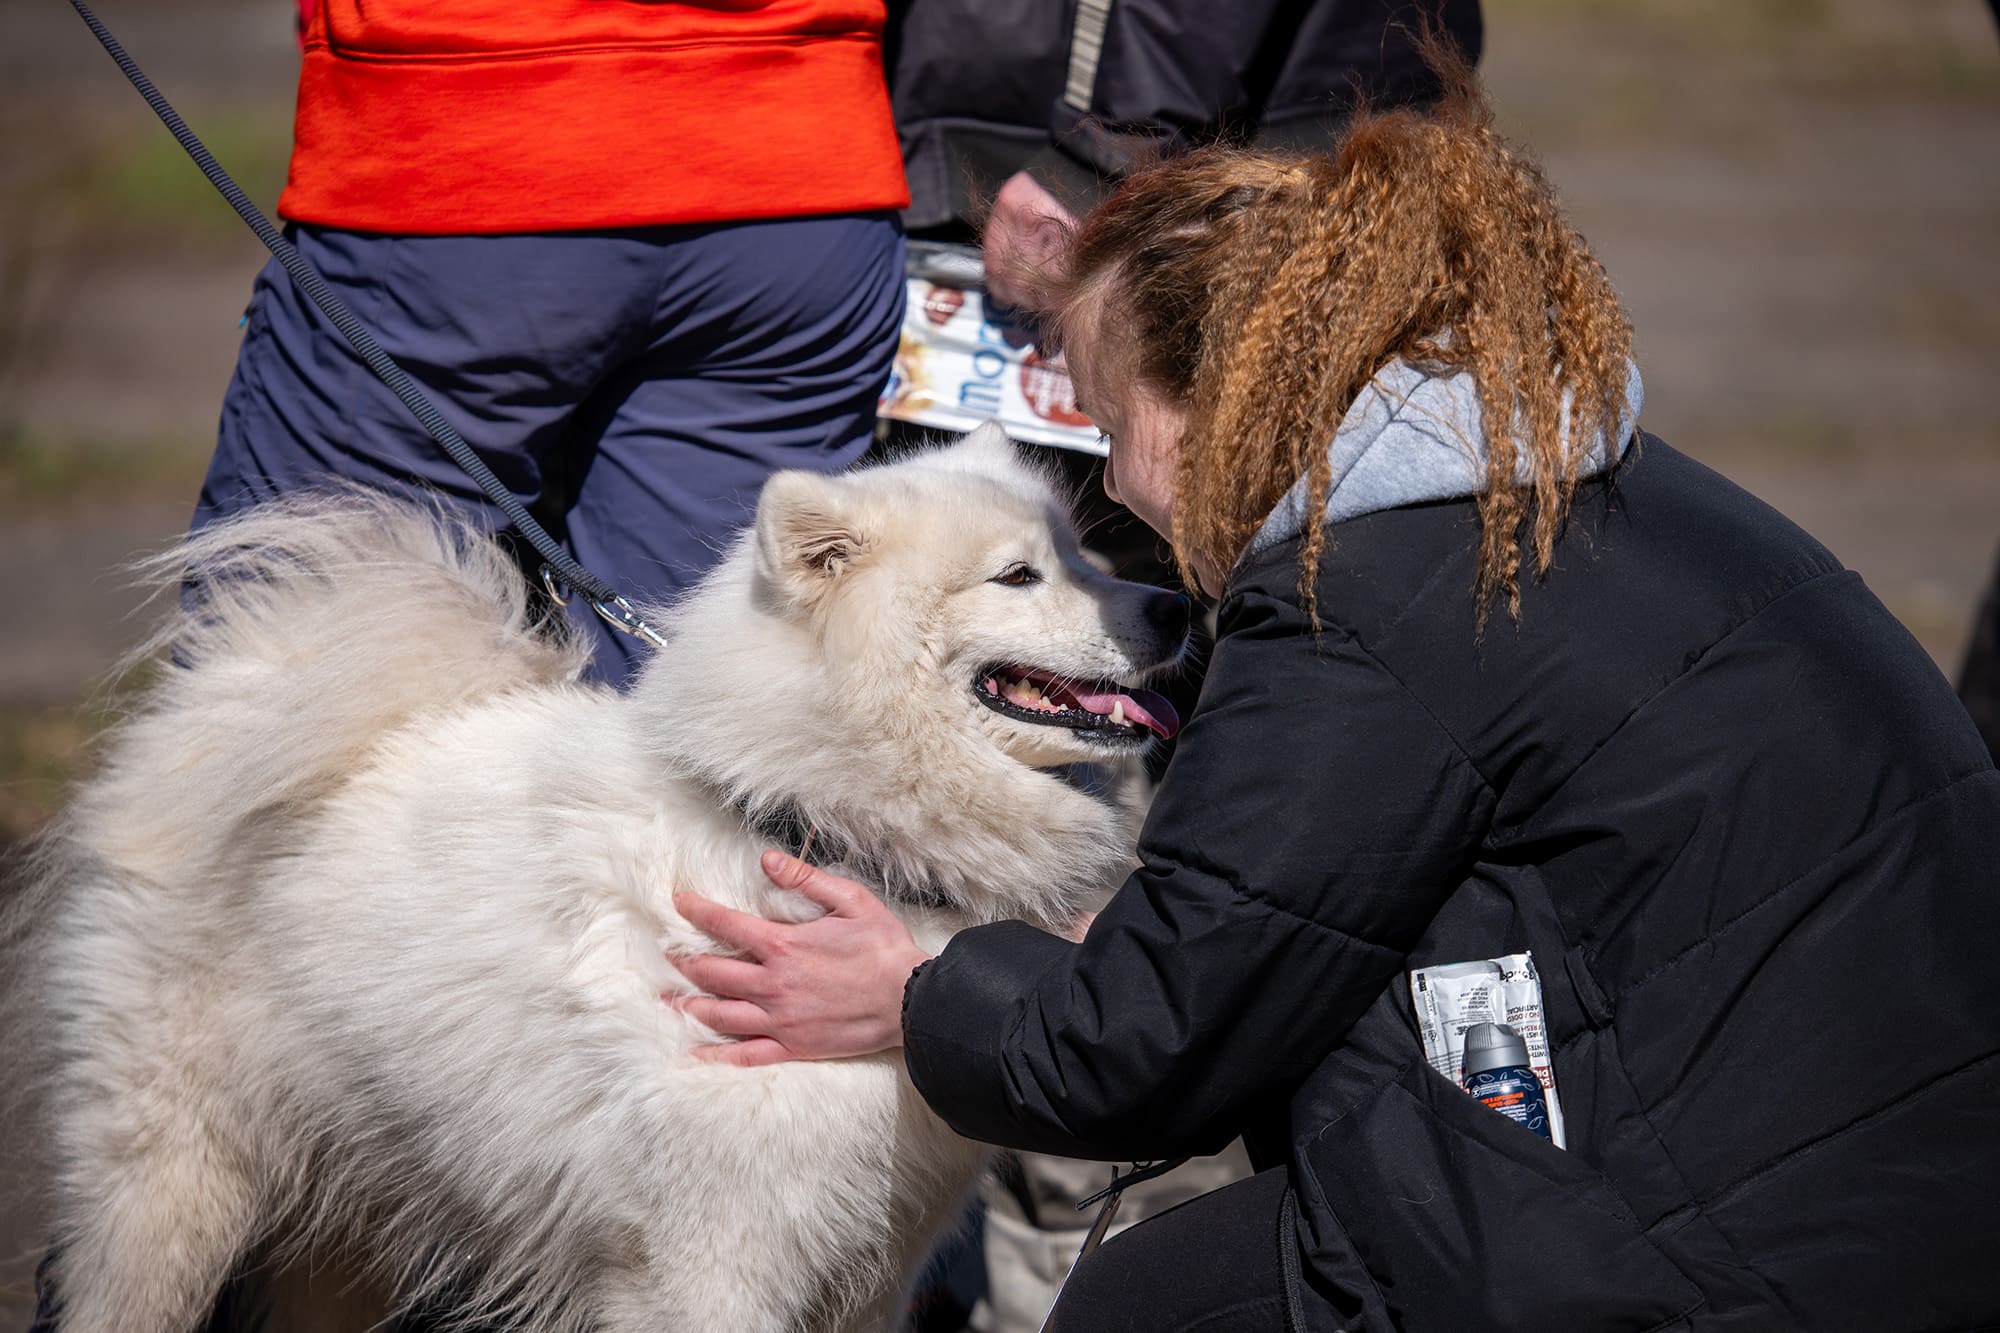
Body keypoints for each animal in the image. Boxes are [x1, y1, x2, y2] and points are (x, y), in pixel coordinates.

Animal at [11, 428, 1184, 1328]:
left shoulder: (870, 1267)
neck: (817, 828)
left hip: (350, 1215)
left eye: (1082, 552)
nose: (1172, 603)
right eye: (1020, 575)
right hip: (169, 1191)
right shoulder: (711, 1260)